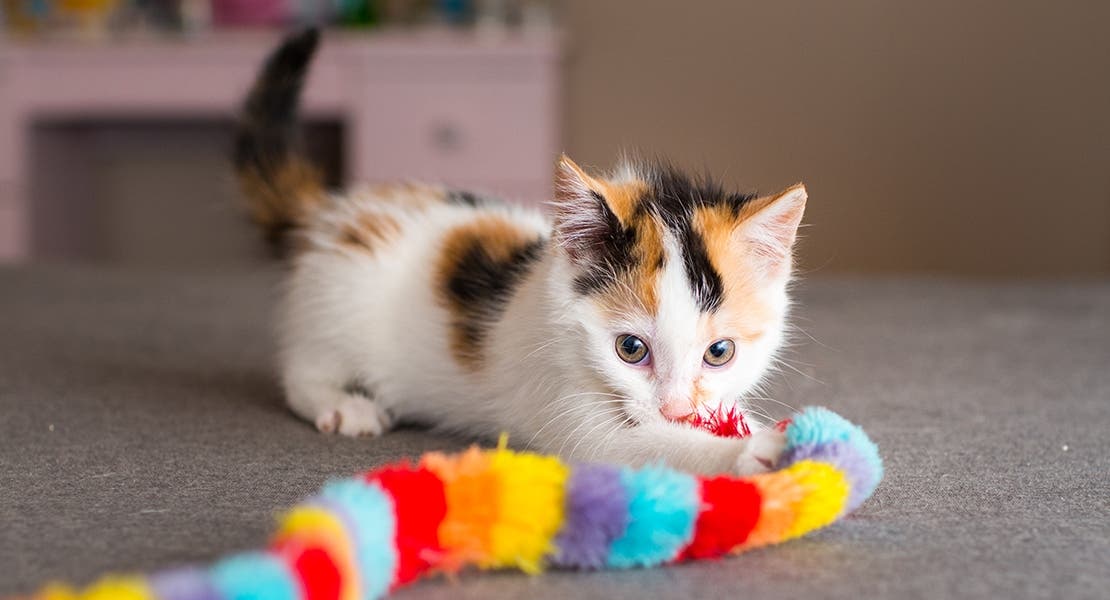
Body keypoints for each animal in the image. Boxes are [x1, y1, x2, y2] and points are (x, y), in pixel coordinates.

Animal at [236, 31, 808, 472]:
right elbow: (642, 444)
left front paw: (761, 431)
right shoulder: (564, 407)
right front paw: (756, 451)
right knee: (301, 371)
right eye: (630, 349)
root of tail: (335, 208)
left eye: (720, 353)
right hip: (335, 307)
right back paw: (343, 404)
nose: (676, 410)